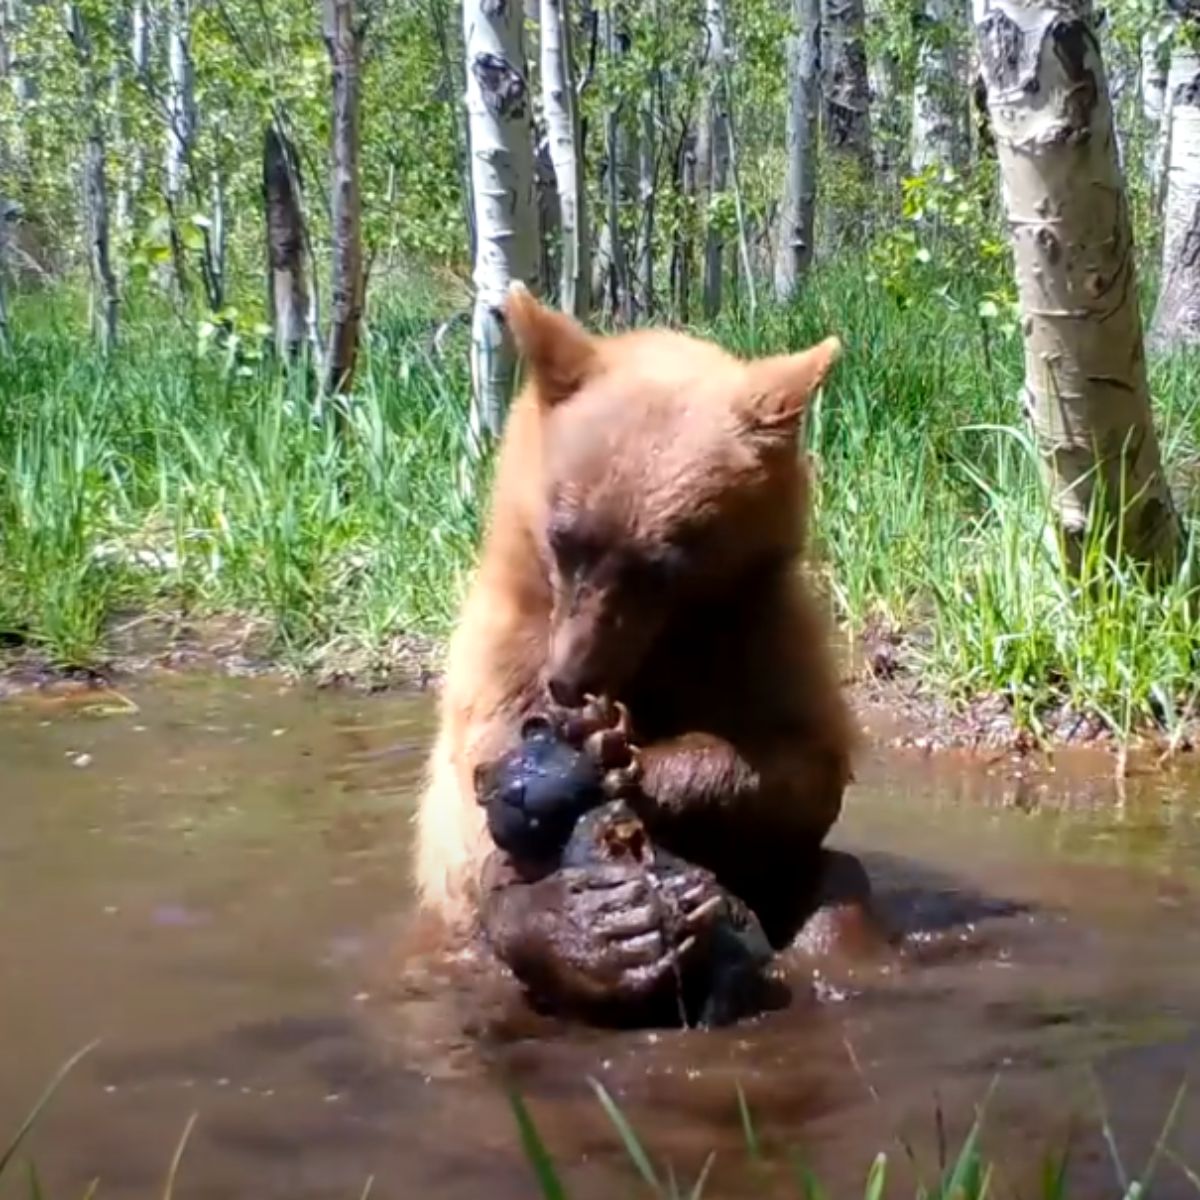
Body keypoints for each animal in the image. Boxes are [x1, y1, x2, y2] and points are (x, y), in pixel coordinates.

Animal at [414, 281, 858, 1015]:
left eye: (662, 568)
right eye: (564, 537)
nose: (569, 681)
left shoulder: (760, 631)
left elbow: (801, 768)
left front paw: (623, 753)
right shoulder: (506, 644)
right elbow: (479, 803)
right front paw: (584, 926)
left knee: (837, 888)